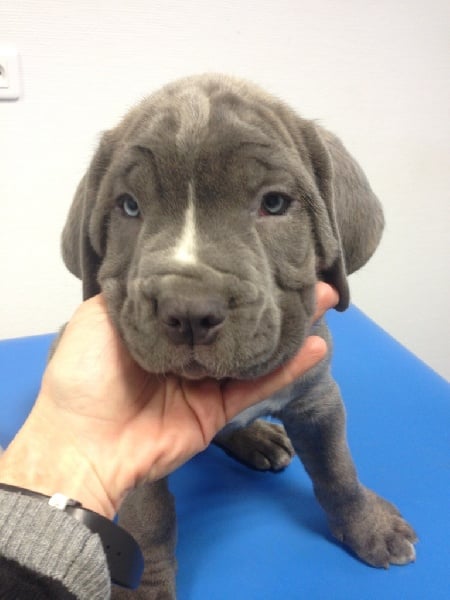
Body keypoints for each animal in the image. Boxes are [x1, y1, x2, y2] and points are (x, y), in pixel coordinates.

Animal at [62, 74, 417, 598]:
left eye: (274, 203)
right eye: (128, 207)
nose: (188, 309)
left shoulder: (319, 396)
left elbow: (338, 470)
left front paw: (369, 526)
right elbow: (149, 518)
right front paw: (145, 587)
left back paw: (257, 438)